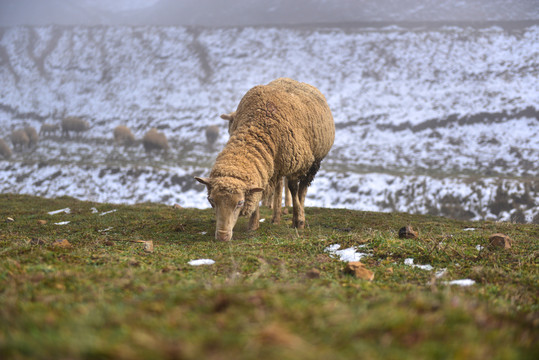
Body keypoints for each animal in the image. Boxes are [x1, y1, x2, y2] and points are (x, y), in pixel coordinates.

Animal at [196, 79, 336, 242]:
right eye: (211, 200)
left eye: (240, 202)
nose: (222, 236)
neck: (258, 123)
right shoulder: (263, 169)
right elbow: (259, 191)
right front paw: (253, 225)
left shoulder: (298, 163)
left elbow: (294, 190)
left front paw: (299, 220)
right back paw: (277, 217)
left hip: (313, 162)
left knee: (301, 189)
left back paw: (297, 215)